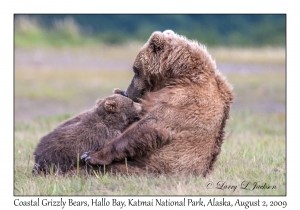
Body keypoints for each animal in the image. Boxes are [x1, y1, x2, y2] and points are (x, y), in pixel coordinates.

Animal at [82, 30, 234, 176]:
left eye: (135, 70)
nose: (128, 92)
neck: (180, 74)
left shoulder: (183, 99)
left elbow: (149, 125)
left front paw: (91, 155)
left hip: (148, 167)